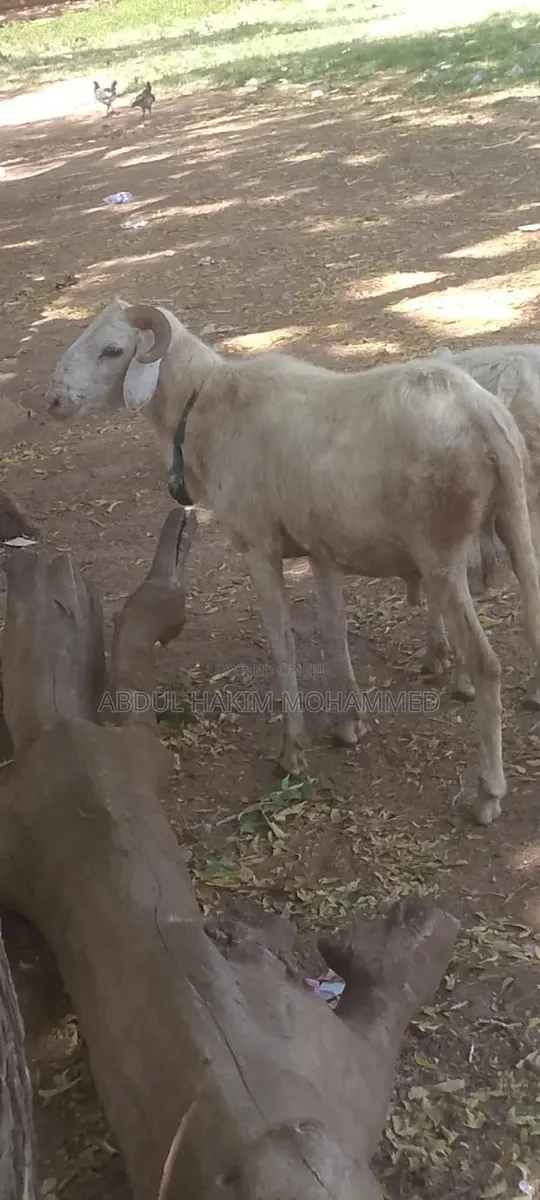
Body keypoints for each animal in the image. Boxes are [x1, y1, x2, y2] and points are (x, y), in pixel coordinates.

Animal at [45, 298, 540, 825]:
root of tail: (482, 416)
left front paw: (293, 750)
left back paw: (488, 791)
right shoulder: (319, 550)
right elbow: (333, 631)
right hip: (515, 517)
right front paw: (348, 722)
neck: (205, 407)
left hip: (441, 554)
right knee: (532, 617)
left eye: (112, 350)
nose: (53, 401)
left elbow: (282, 643)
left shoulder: (258, 546)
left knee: (486, 664)